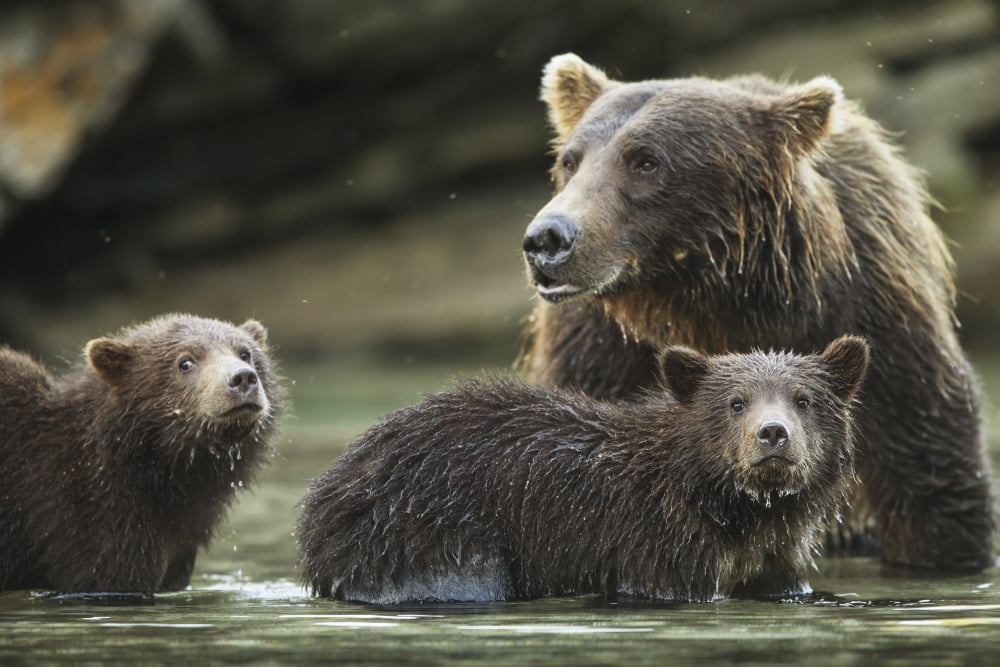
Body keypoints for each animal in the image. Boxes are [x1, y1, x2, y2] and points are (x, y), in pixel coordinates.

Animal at [296, 336, 869, 604]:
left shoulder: (774, 553)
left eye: (803, 399)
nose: (772, 434)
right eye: (735, 402)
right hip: (421, 531)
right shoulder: (656, 542)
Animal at [516, 53, 994, 571]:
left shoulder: (876, 317)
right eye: (570, 160)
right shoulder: (599, 348)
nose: (548, 238)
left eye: (645, 160)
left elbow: (929, 476)